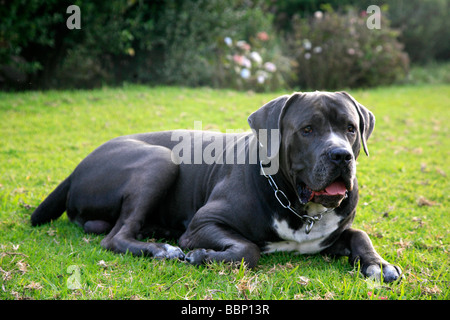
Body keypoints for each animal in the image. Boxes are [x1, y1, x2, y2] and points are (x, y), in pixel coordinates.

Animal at [31, 91, 400, 282]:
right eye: (307, 129)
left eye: (350, 128)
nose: (340, 155)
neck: (299, 206)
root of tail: (77, 166)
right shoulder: (203, 223)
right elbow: (248, 249)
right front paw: (202, 255)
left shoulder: (335, 232)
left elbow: (360, 235)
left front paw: (378, 264)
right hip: (160, 161)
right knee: (115, 237)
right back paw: (161, 249)